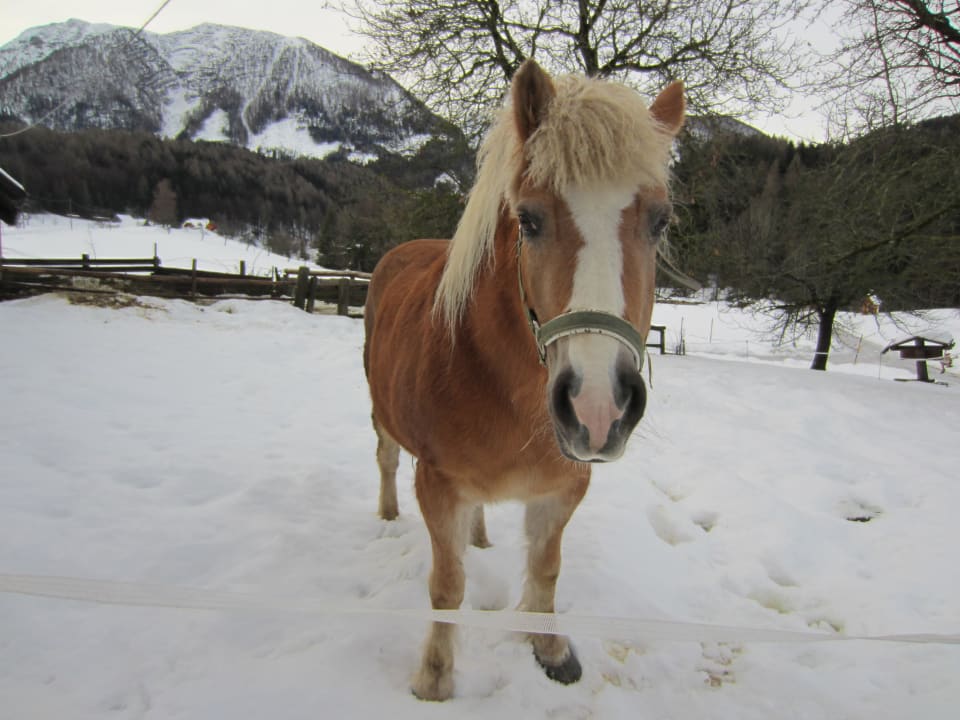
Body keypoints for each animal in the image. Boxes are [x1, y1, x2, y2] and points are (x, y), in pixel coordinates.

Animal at [363, 59, 684, 701]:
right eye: (530, 220)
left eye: (659, 221)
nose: (596, 409)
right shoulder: (437, 485)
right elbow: (447, 588)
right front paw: (434, 680)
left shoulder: (562, 490)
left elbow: (545, 570)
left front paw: (550, 651)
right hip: (382, 416)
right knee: (384, 460)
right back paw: (386, 518)